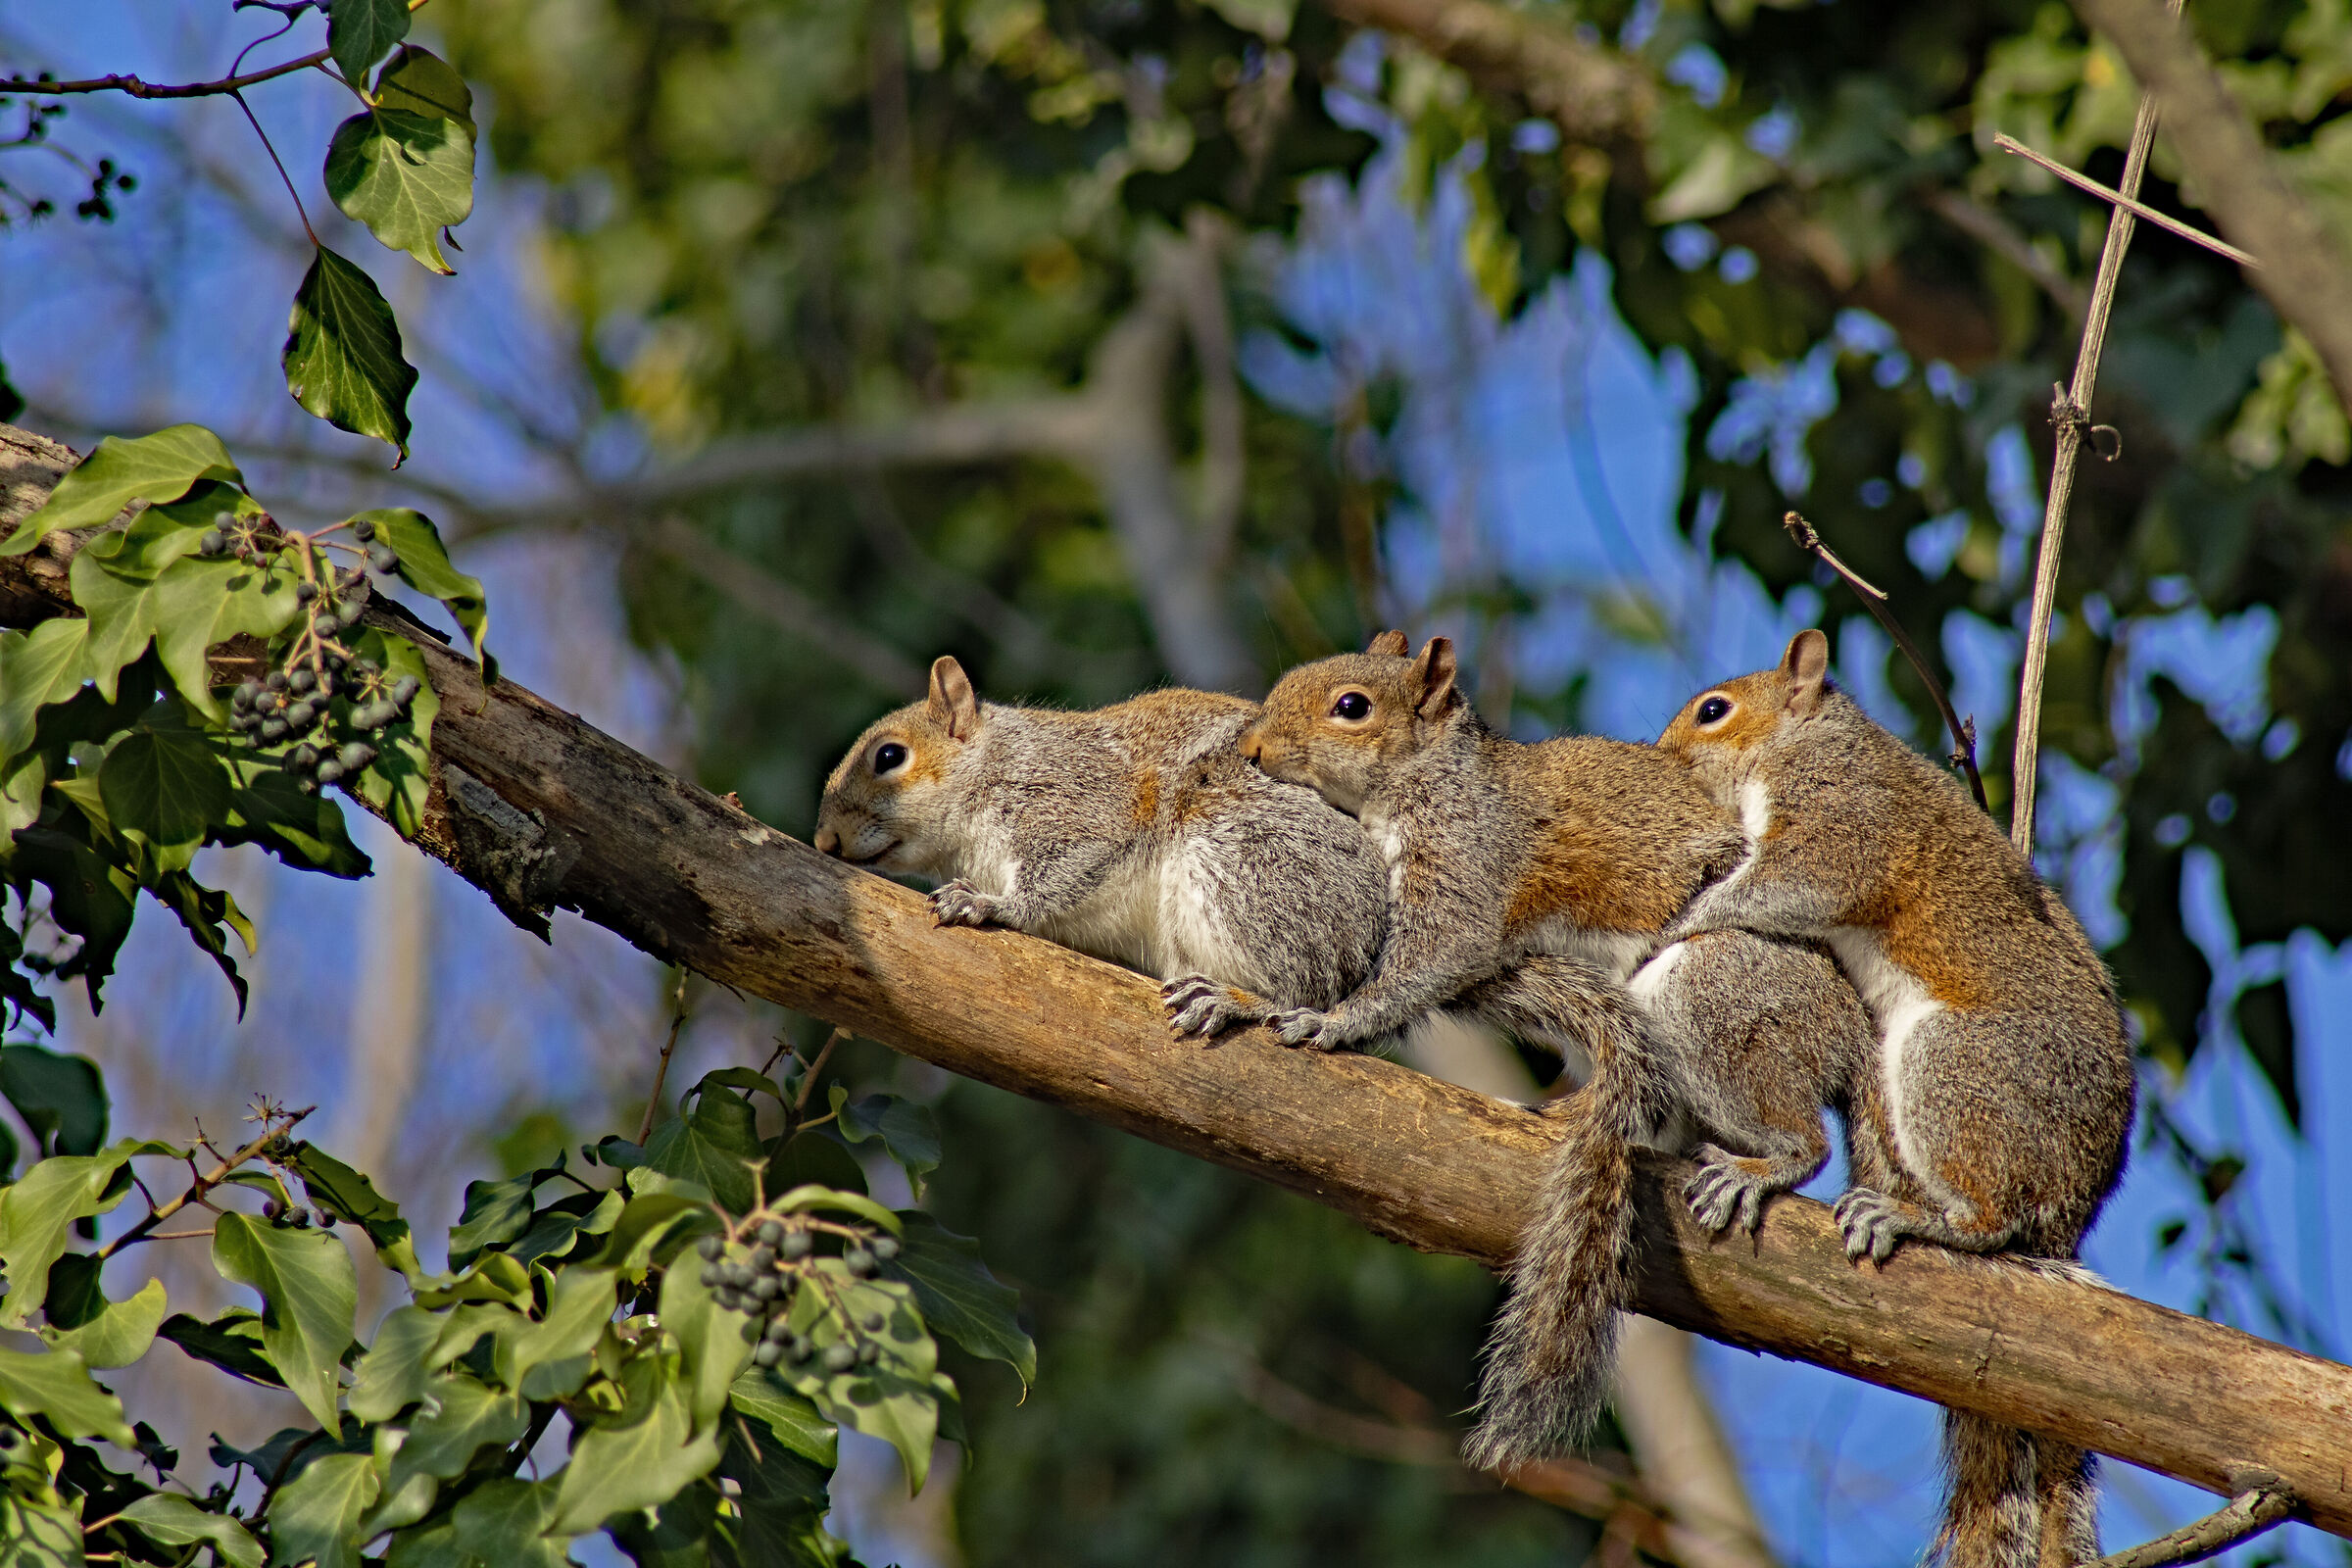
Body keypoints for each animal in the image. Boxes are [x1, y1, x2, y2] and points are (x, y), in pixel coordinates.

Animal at [1167, 631, 1880, 1473]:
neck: (1424, 783)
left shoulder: (1465, 868)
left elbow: (1425, 962)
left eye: (1351, 706)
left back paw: (1766, 1157)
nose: (1253, 748)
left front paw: (1331, 1020)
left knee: (1793, 1131)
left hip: (1721, 990)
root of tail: (1849, 1026)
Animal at [1656, 628, 2135, 1568]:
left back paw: (1916, 1218)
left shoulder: (1846, 821)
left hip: (1956, 1066)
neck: (1806, 743)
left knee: (1991, 1218)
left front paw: (1687, 913)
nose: (1659, 756)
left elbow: (1788, 884)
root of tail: (2076, 1203)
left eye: (1713, 710)